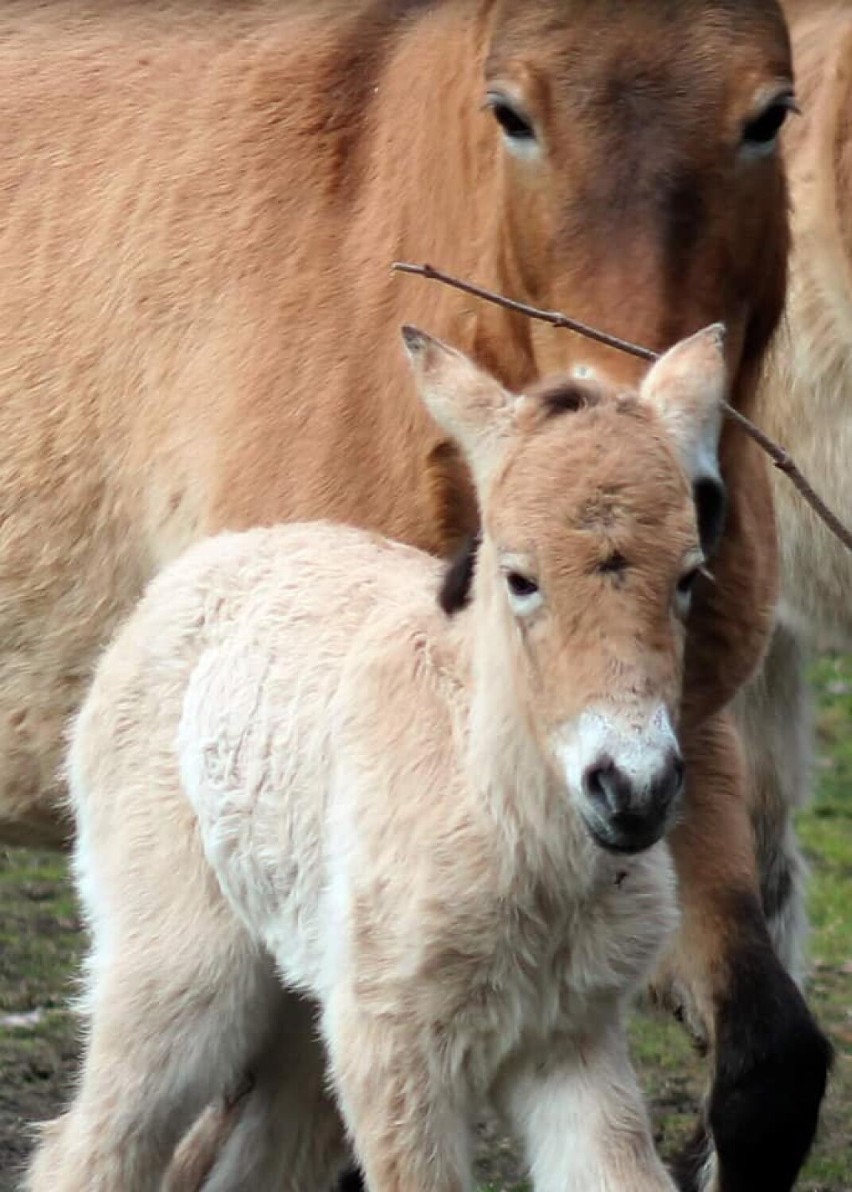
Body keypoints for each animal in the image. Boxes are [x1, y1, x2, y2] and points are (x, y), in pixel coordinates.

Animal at [0, 0, 834, 1187]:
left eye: (771, 112)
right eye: (509, 111)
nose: (703, 490)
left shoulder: (675, 758)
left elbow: (769, 1067)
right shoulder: (385, 1013)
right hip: (195, 956)